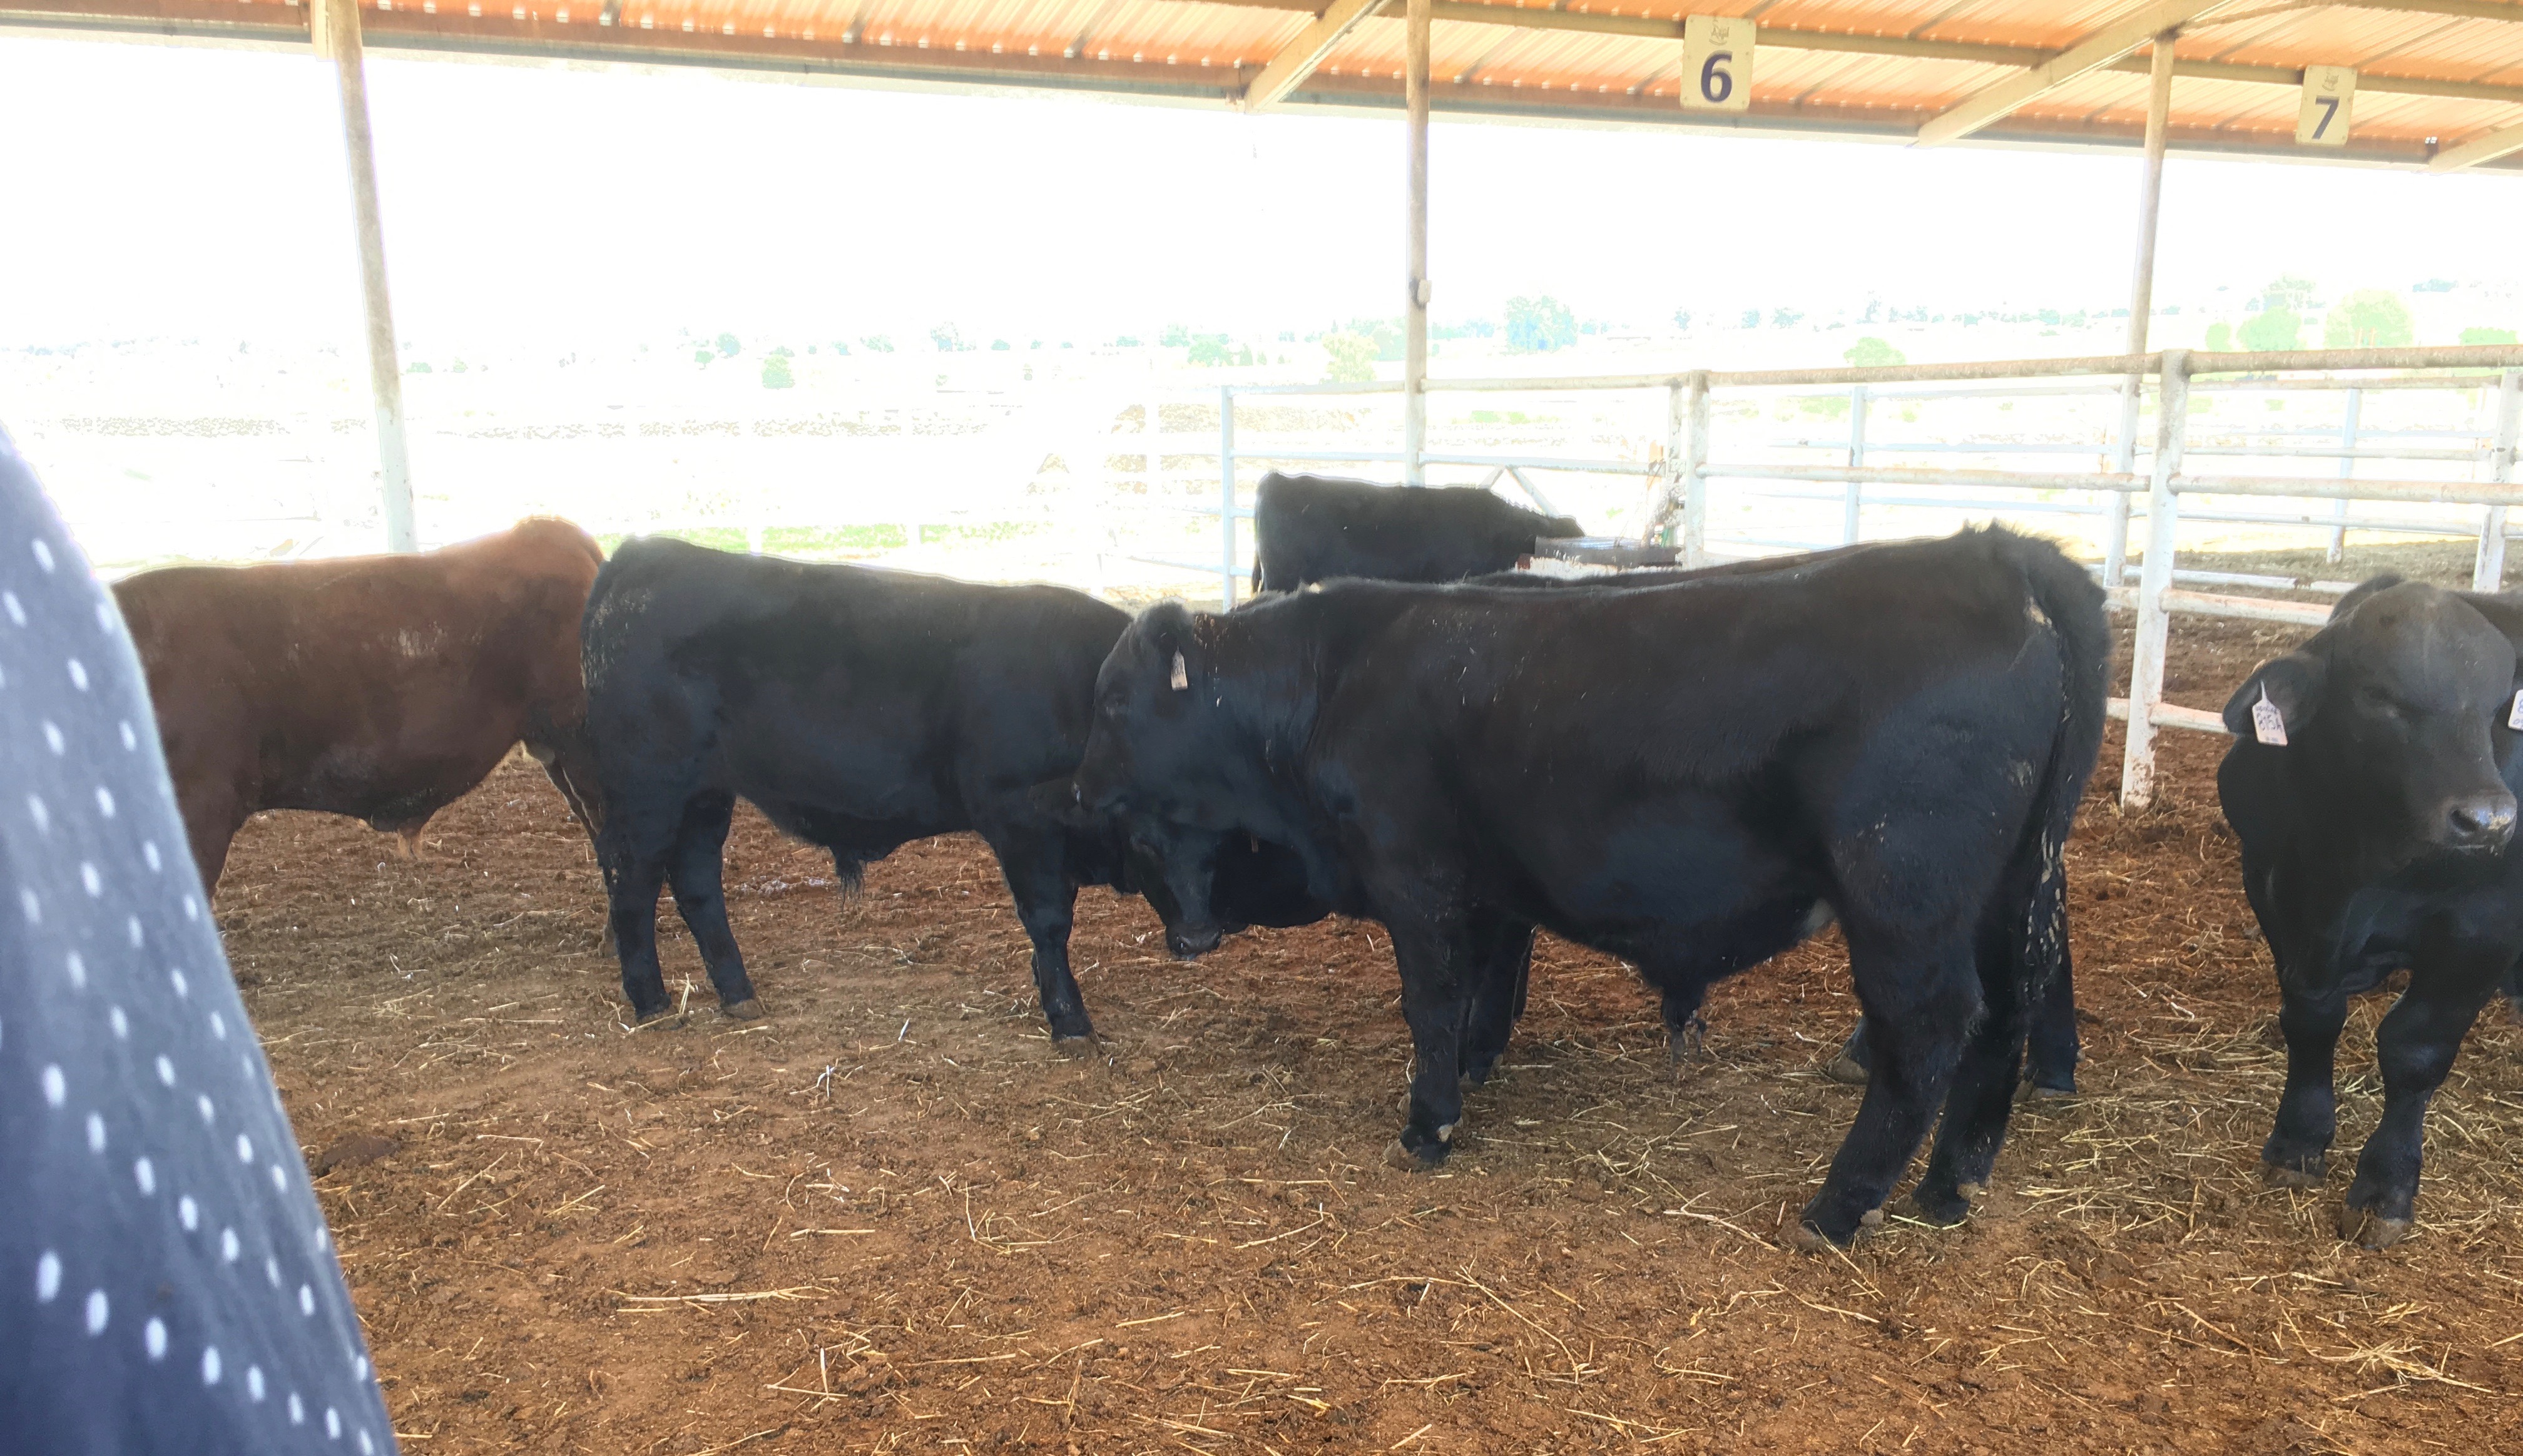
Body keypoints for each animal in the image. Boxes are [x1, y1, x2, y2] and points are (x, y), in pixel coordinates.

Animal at [582, 537, 1241, 1035]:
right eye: (1147, 837)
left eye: (1215, 835)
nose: (1201, 936)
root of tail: (643, 554)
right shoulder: (1020, 821)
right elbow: (1050, 921)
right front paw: (1070, 1020)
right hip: (647, 793)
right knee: (631, 883)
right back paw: (651, 1002)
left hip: (705, 796)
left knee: (697, 883)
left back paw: (738, 993)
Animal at [1071, 527, 2108, 1249]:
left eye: (1115, 700)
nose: (1082, 790)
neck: (1332, 679)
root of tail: (1993, 552)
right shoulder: (1488, 881)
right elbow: (1490, 980)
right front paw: (1477, 1067)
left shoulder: (1415, 873)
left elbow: (1433, 998)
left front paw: (1429, 1120)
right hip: (2012, 889)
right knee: (2005, 1014)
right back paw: (1949, 1187)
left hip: (1905, 894)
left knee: (1929, 1029)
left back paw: (1840, 1205)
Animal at [2220, 572, 2523, 1249]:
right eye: (2381, 697)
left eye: (2498, 710)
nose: (2488, 820)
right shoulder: (2276, 890)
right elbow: (2311, 1019)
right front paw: (2298, 1140)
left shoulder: (2483, 928)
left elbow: (2414, 1050)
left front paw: (2386, 1185)